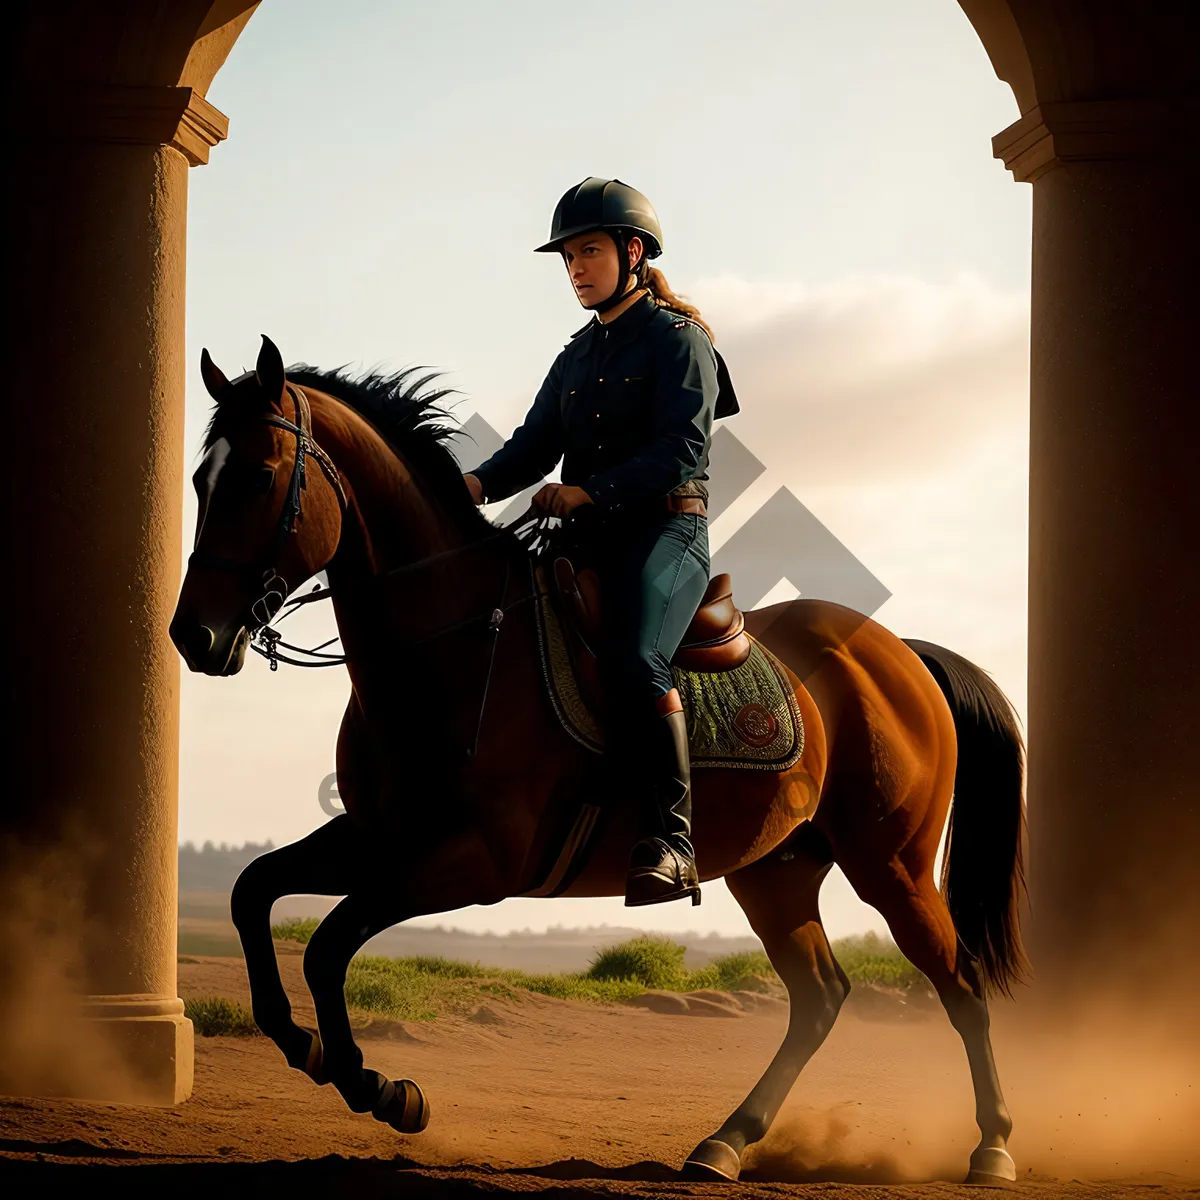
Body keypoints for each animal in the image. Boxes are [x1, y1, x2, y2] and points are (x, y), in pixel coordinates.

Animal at [169, 336, 1027, 1180]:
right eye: (200, 479)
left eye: (256, 477)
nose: (193, 637)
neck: (459, 643)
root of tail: (900, 653)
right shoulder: (379, 835)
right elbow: (253, 893)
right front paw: (314, 1050)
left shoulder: (472, 864)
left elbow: (327, 943)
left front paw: (379, 1087)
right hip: (776, 870)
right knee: (820, 997)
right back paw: (724, 1144)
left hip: (892, 867)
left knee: (960, 983)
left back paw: (991, 1147)